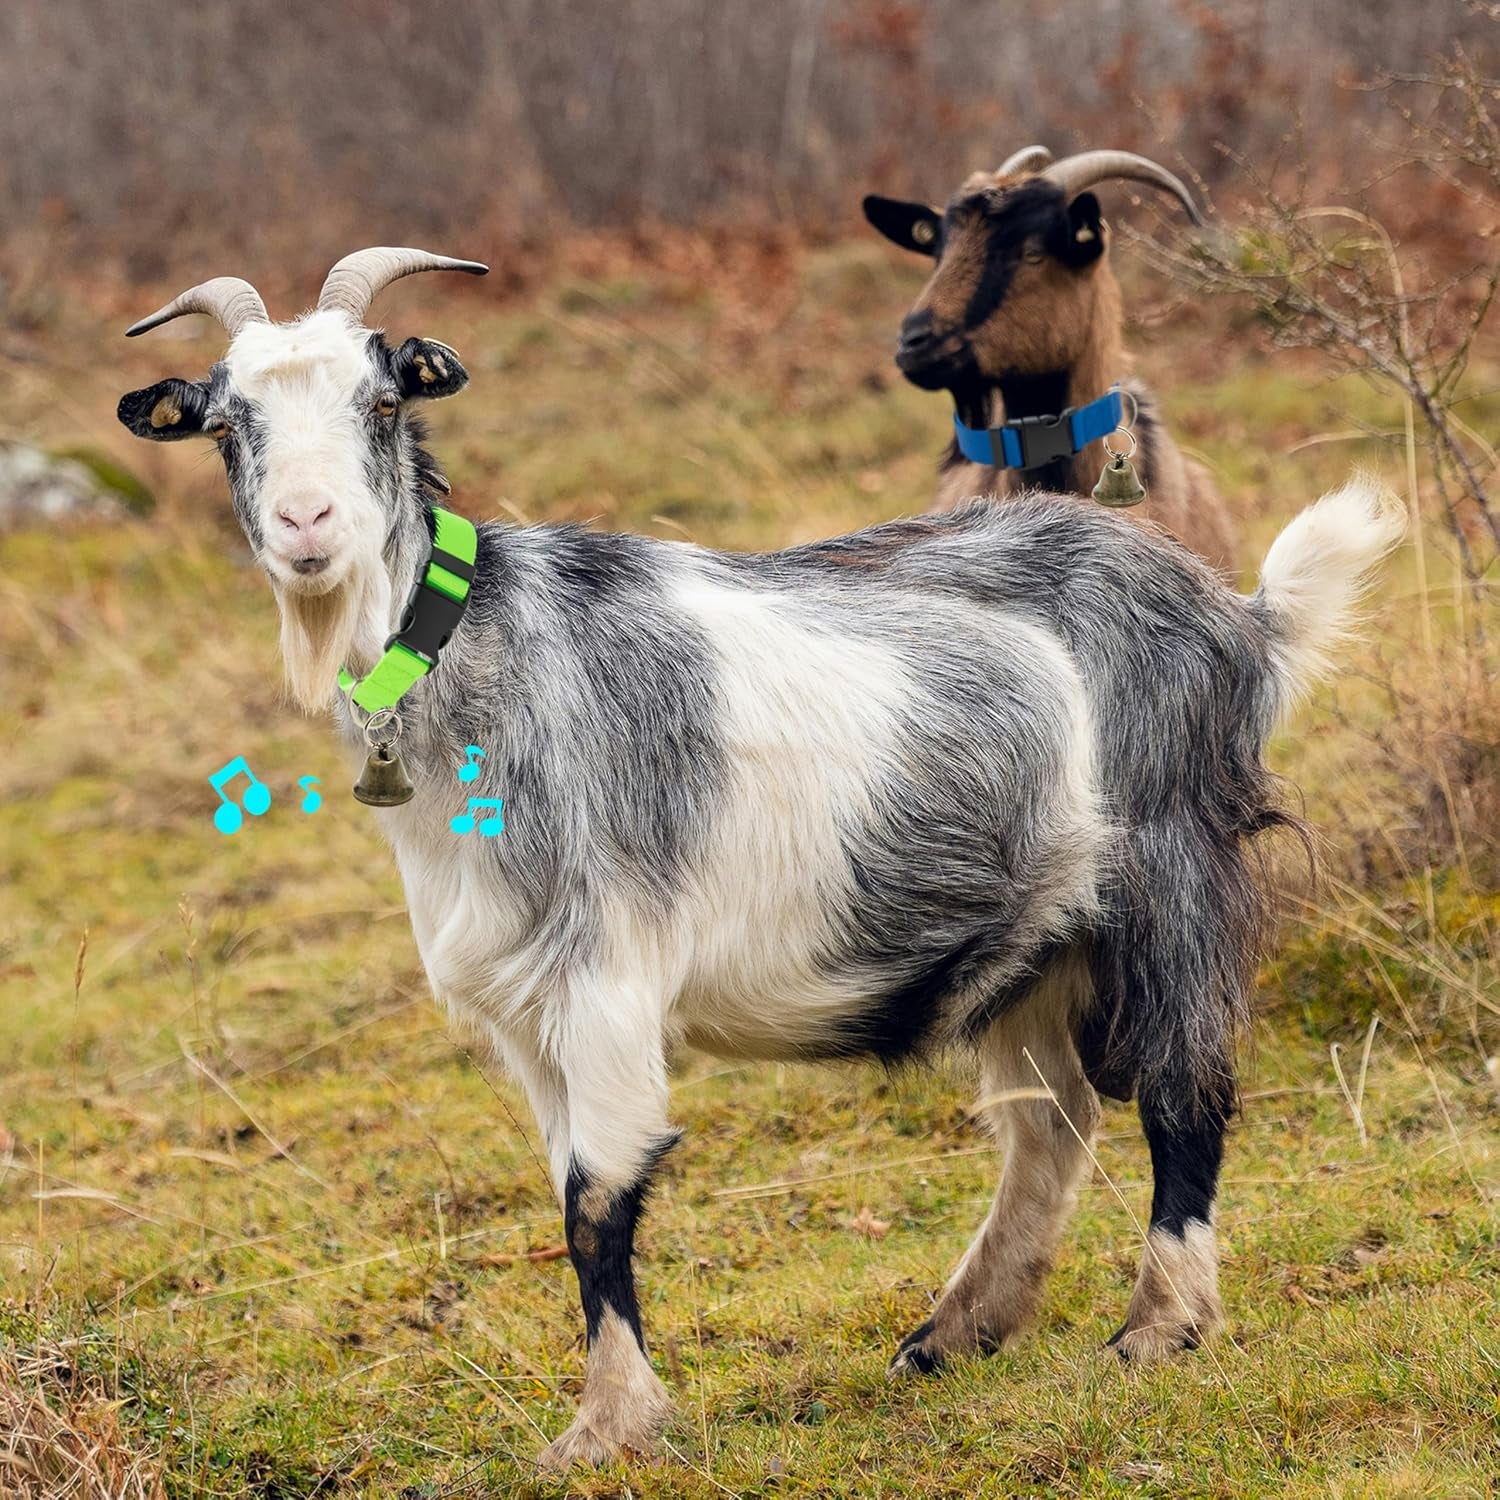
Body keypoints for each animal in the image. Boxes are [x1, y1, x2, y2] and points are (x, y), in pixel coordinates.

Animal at [118, 249, 1402, 1470]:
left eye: (381, 398)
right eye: (228, 424)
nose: (307, 526)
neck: (479, 663)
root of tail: (1238, 618)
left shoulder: (607, 975)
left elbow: (596, 1200)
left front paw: (609, 1424)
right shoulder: (521, 1012)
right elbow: (565, 1189)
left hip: (1170, 872)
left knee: (1186, 1086)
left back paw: (1159, 1326)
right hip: (1037, 936)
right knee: (1052, 1123)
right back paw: (955, 1333)